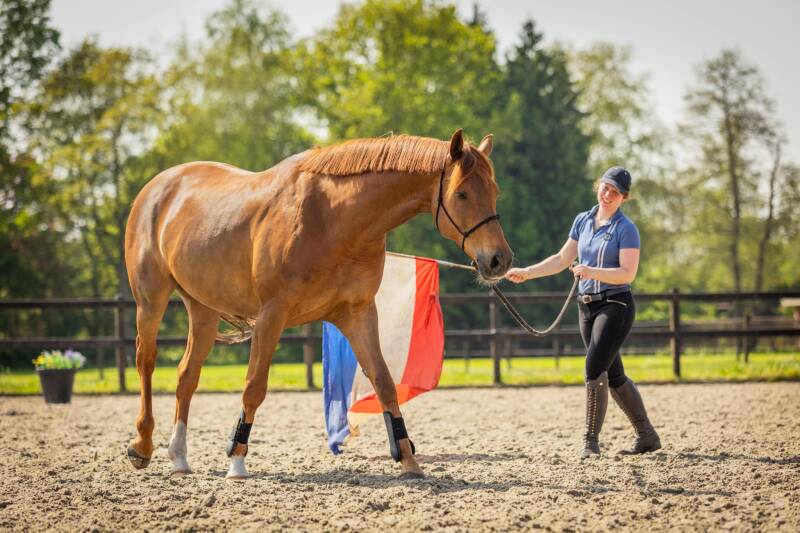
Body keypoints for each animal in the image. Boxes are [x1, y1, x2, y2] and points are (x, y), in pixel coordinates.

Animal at [124, 129, 512, 479]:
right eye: (461, 194)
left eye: (495, 192)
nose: (499, 260)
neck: (332, 219)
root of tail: (157, 188)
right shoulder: (271, 315)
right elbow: (254, 387)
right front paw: (237, 460)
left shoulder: (358, 315)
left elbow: (384, 382)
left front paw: (408, 460)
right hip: (151, 299)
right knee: (146, 361)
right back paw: (142, 446)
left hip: (202, 308)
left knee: (186, 375)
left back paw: (178, 456)